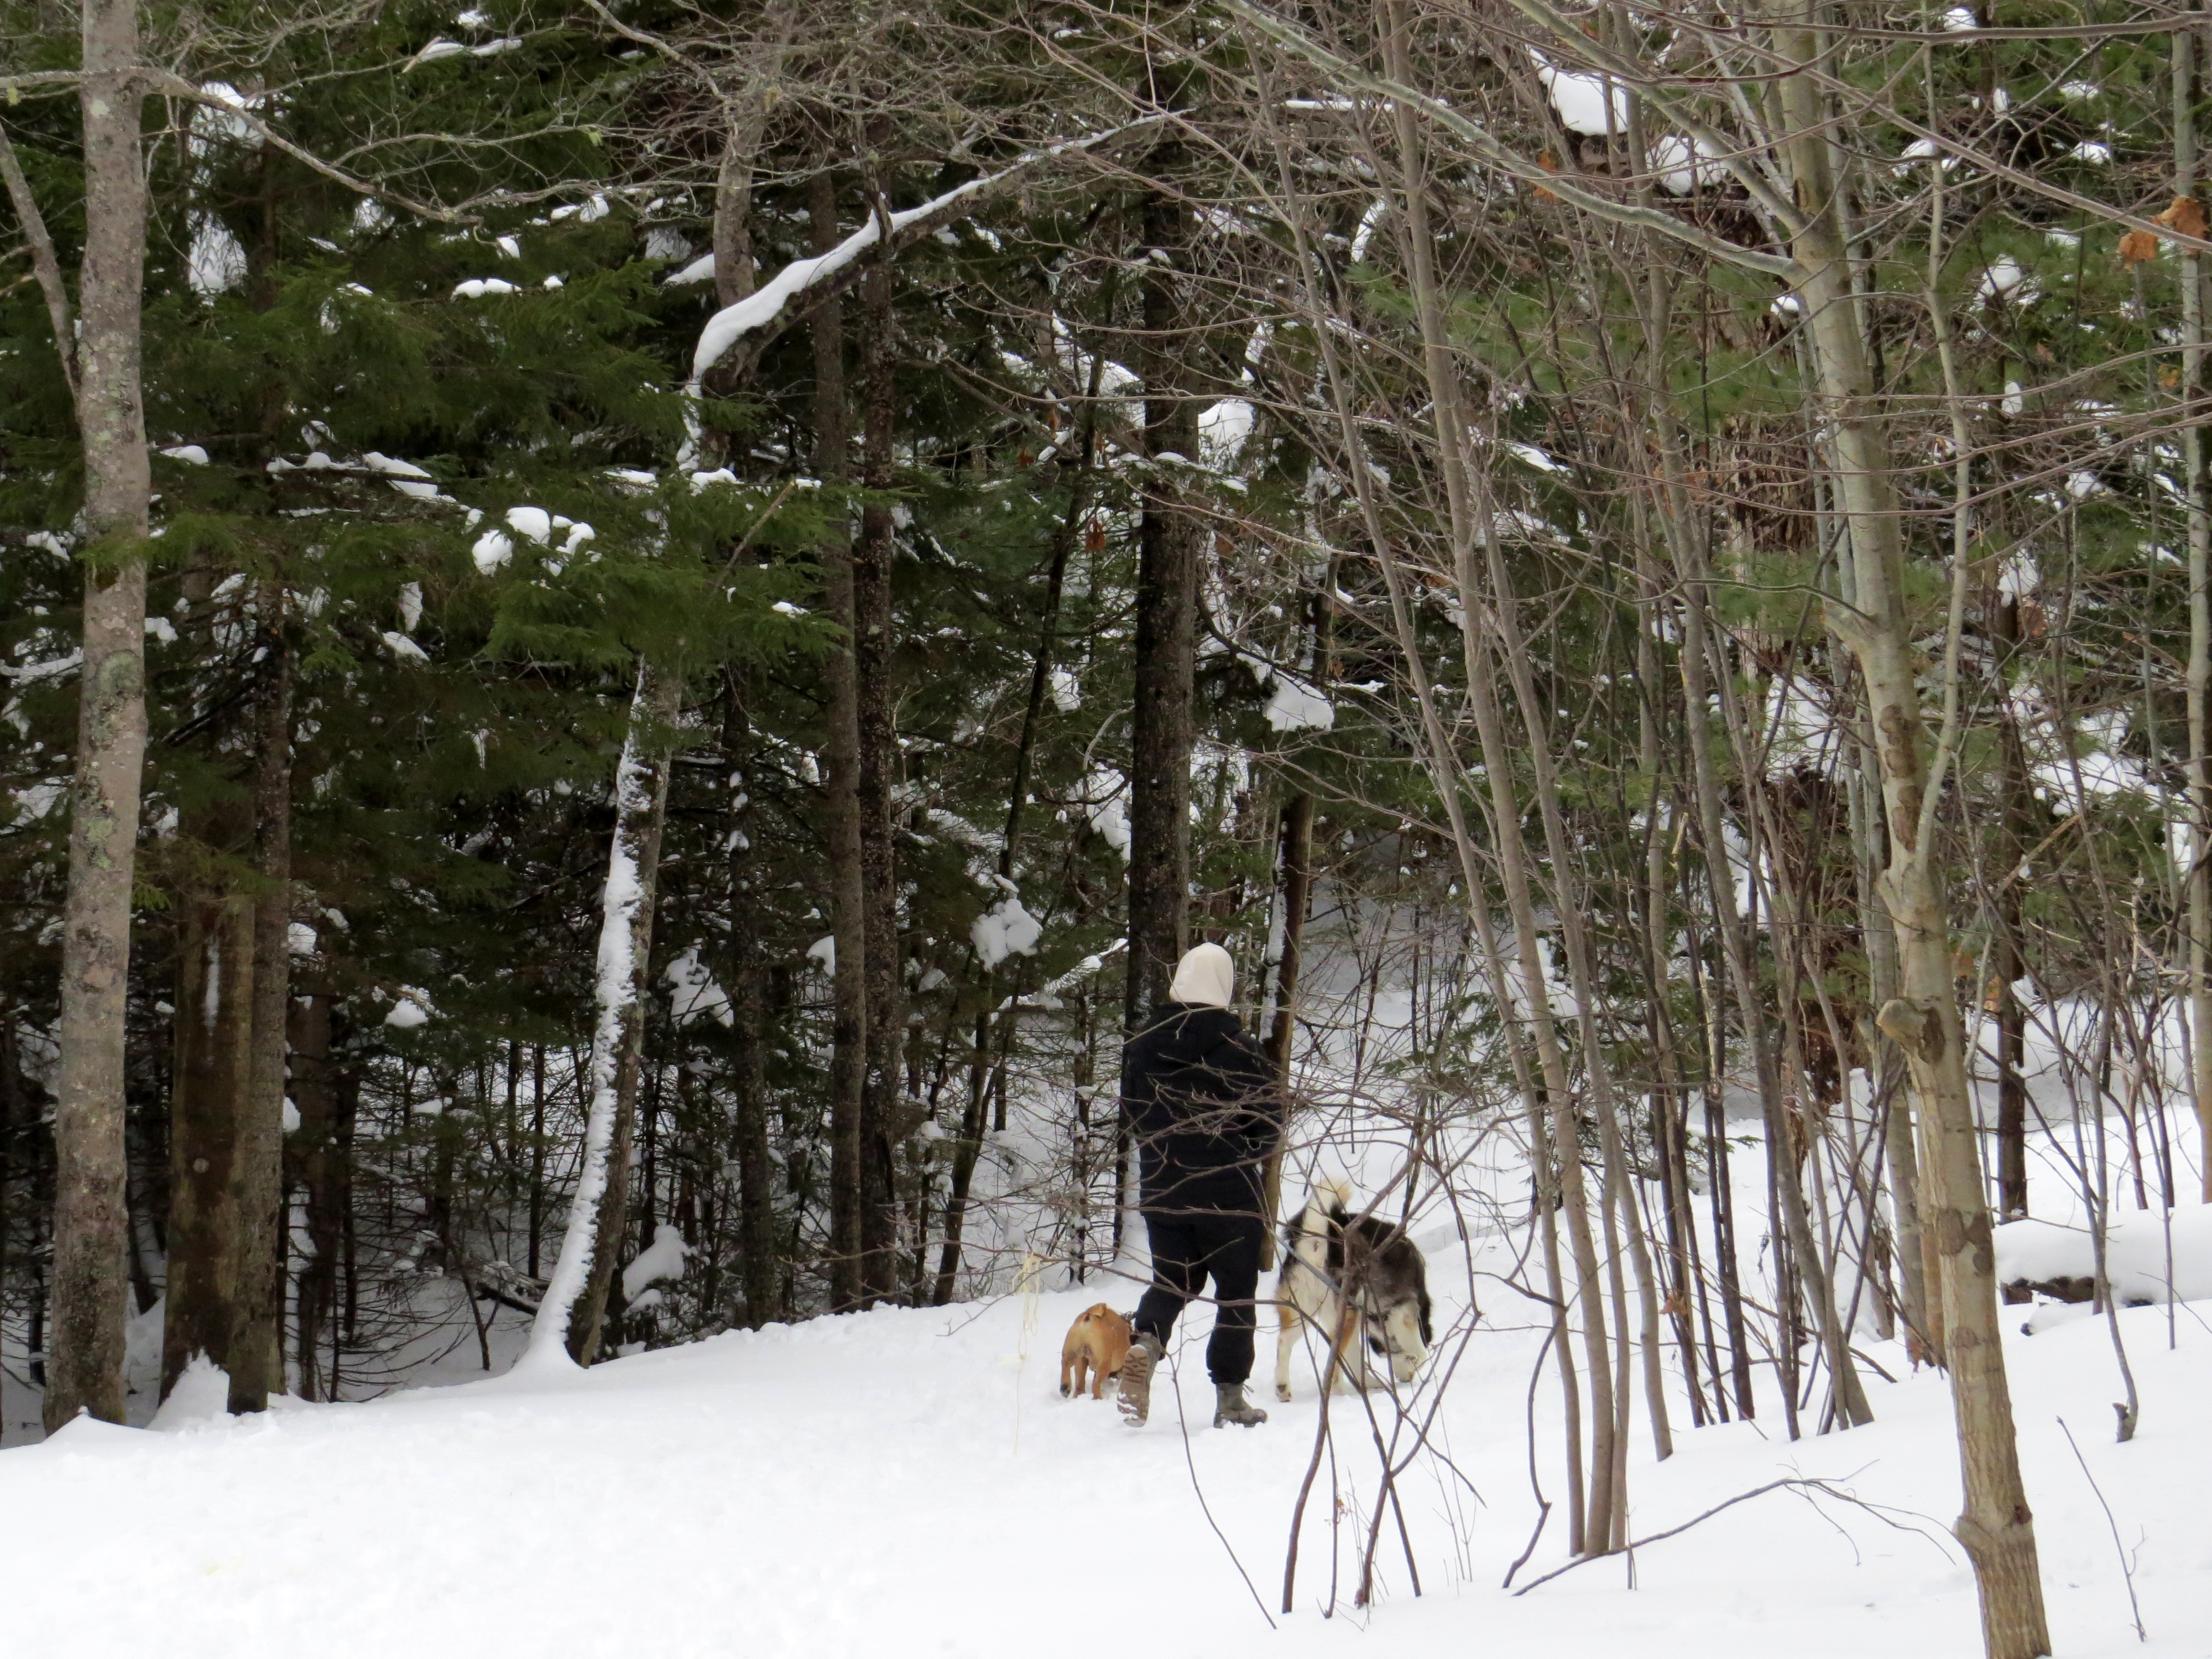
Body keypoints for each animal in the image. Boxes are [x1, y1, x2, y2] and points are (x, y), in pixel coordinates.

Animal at [1060, 1303, 1134, 1400]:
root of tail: (1088, 1317)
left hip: (1074, 1352)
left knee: (1069, 1369)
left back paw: (1065, 1387)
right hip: (1104, 1363)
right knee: (1095, 1385)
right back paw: (1098, 1398)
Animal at [1275, 1177, 1434, 1402]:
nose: (1406, 1380)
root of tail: (1317, 1241)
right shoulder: (1401, 1309)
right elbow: (1420, 1353)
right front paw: (1411, 1361)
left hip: (1302, 1309)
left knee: (1284, 1342)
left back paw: (1283, 1387)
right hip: (1345, 1313)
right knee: (1335, 1363)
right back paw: (1337, 1393)